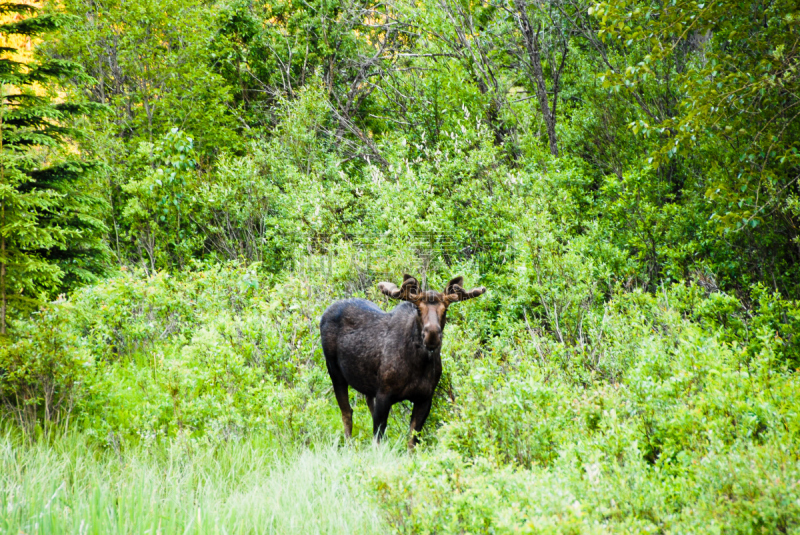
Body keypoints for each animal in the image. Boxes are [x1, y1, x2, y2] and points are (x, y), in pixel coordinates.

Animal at [320, 276, 484, 448]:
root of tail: (324, 314)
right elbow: (377, 438)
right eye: (418, 309)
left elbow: (412, 440)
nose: (432, 335)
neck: (418, 365)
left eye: (445, 310)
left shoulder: (425, 398)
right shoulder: (384, 394)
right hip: (335, 372)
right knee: (347, 412)